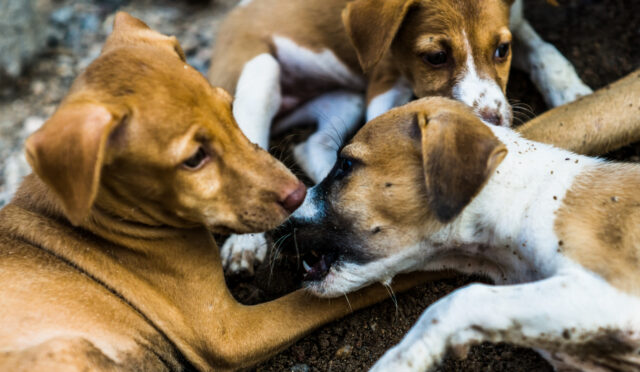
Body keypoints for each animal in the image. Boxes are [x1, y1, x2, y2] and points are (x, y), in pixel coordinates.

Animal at [0, 13, 438, 370]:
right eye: (194, 158)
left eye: (229, 110)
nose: (298, 195)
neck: (103, 221)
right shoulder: (227, 333)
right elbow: (322, 297)